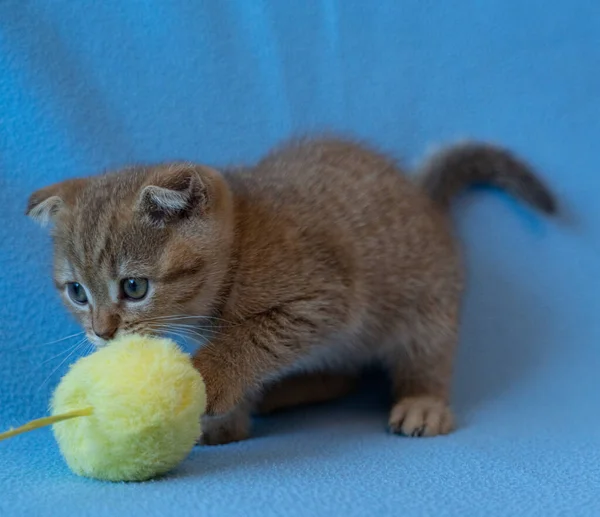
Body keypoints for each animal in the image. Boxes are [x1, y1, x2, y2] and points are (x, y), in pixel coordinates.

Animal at [27, 137, 552, 444]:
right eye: (77, 292)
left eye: (134, 287)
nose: (101, 331)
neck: (240, 250)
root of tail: (425, 199)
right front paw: (228, 419)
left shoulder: (324, 298)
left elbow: (250, 338)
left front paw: (209, 379)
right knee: (344, 371)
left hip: (428, 305)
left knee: (425, 356)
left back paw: (423, 401)